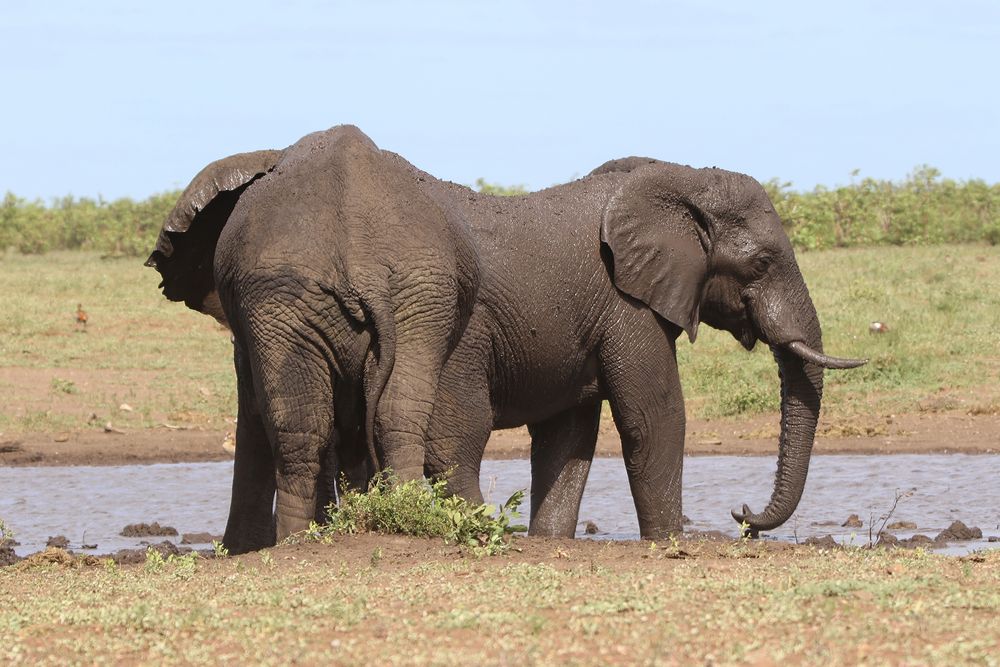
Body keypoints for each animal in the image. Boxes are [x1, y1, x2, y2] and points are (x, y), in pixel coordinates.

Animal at [144, 126, 480, 552]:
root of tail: (362, 260)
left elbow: (252, 410)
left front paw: (237, 549)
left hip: (282, 298)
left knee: (297, 429)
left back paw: (291, 541)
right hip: (421, 293)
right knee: (397, 416)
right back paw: (409, 516)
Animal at [400, 154, 868, 540]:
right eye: (762, 263)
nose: (743, 515)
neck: (680, 179)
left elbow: (568, 437)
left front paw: (549, 539)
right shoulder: (627, 304)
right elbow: (656, 417)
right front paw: (669, 541)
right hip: (458, 337)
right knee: (457, 439)